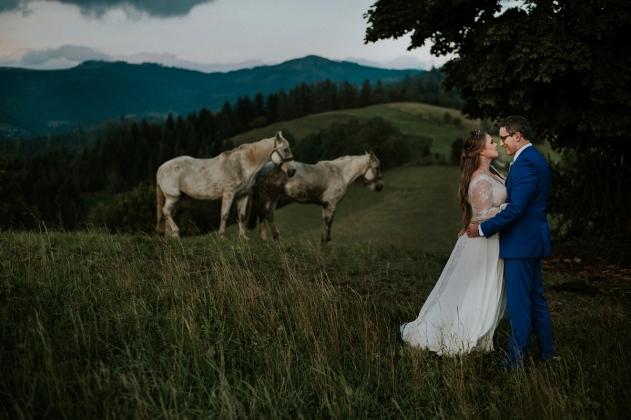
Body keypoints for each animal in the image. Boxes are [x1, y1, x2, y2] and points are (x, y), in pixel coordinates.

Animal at [157, 132, 298, 236]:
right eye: (285, 149)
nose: (293, 171)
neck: (242, 165)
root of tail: (161, 168)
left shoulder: (243, 195)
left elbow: (241, 216)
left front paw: (243, 237)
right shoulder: (229, 194)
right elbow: (224, 214)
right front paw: (222, 236)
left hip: (177, 199)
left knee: (169, 213)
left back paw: (171, 236)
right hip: (173, 197)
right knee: (166, 211)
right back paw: (176, 233)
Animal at [249, 153, 382, 241]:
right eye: (377, 168)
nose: (380, 186)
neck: (340, 173)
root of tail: (261, 170)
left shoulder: (325, 205)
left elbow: (324, 224)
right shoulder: (332, 204)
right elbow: (328, 223)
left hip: (274, 197)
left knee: (270, 215)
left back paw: (277, 238)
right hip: (270, 196)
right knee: (263, 213)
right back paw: (264, 239)